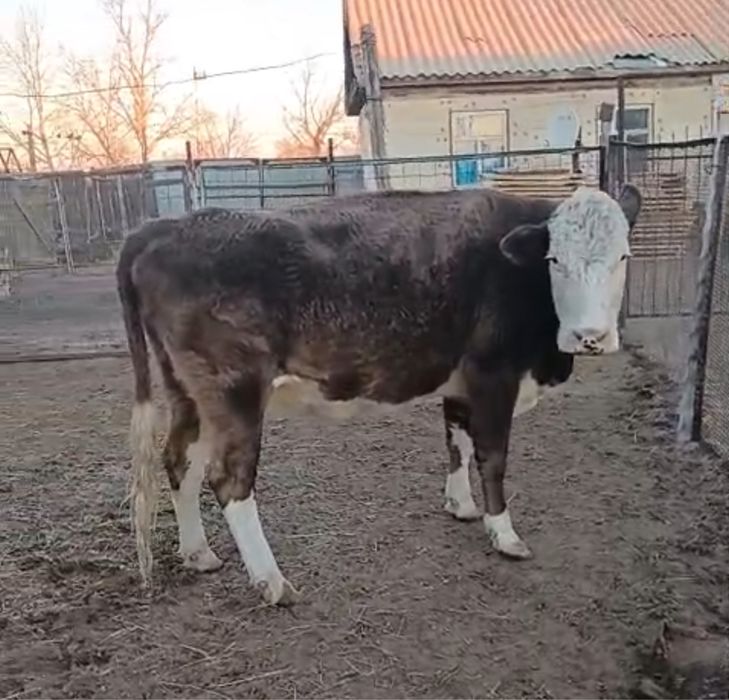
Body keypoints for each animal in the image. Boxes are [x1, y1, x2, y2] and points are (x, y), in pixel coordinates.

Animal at [116, 183, 641, 606]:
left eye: (623, 257)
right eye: (555, 260)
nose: (590, 336)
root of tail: (164, 227)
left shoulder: (460, 383)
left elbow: (456, 441)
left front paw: (461, 506)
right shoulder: (494, 376)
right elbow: (492, 457)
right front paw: (504, 534)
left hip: (187, 392)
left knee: (180, 461)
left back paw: (198, 553)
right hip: (234, 392)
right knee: (229, 480)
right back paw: (273, 582)